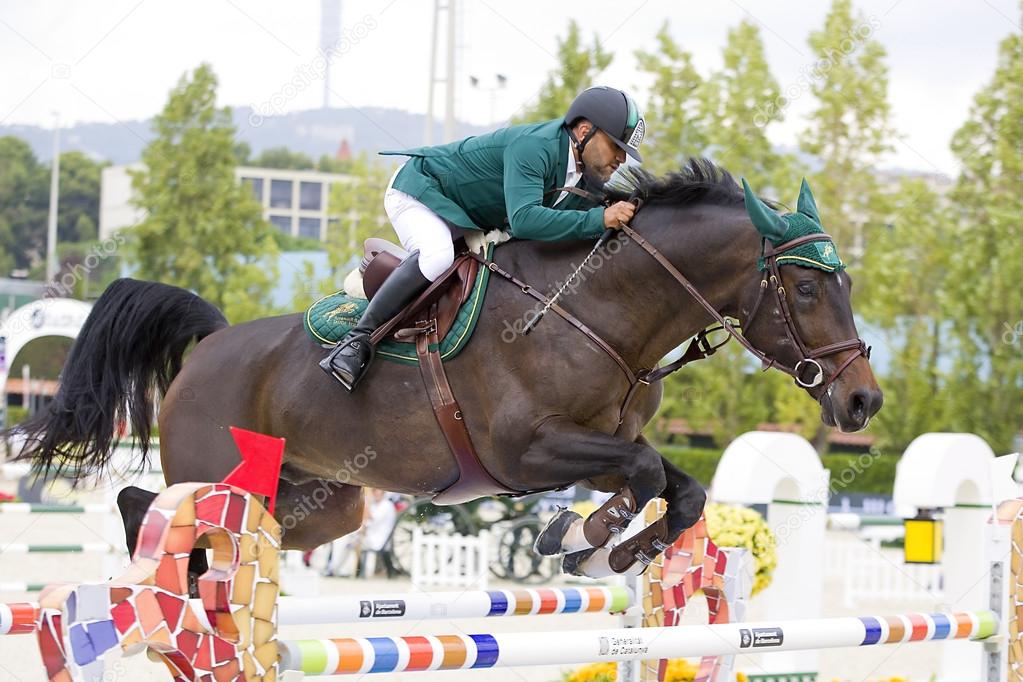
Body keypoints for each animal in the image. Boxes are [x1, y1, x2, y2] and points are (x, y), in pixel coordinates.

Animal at [10, 159, 882, 579]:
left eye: (844, 284)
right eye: (807, 287)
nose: (862, 401)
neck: (597, 312)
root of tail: (215, 342)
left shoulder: (597, 447)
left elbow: (678, 487)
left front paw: (608, 550)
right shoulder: (528, 451)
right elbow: (640, 475)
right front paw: (579, 535)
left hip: (324, 502)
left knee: (252, 528)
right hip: (213, 467)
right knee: (146, 504)